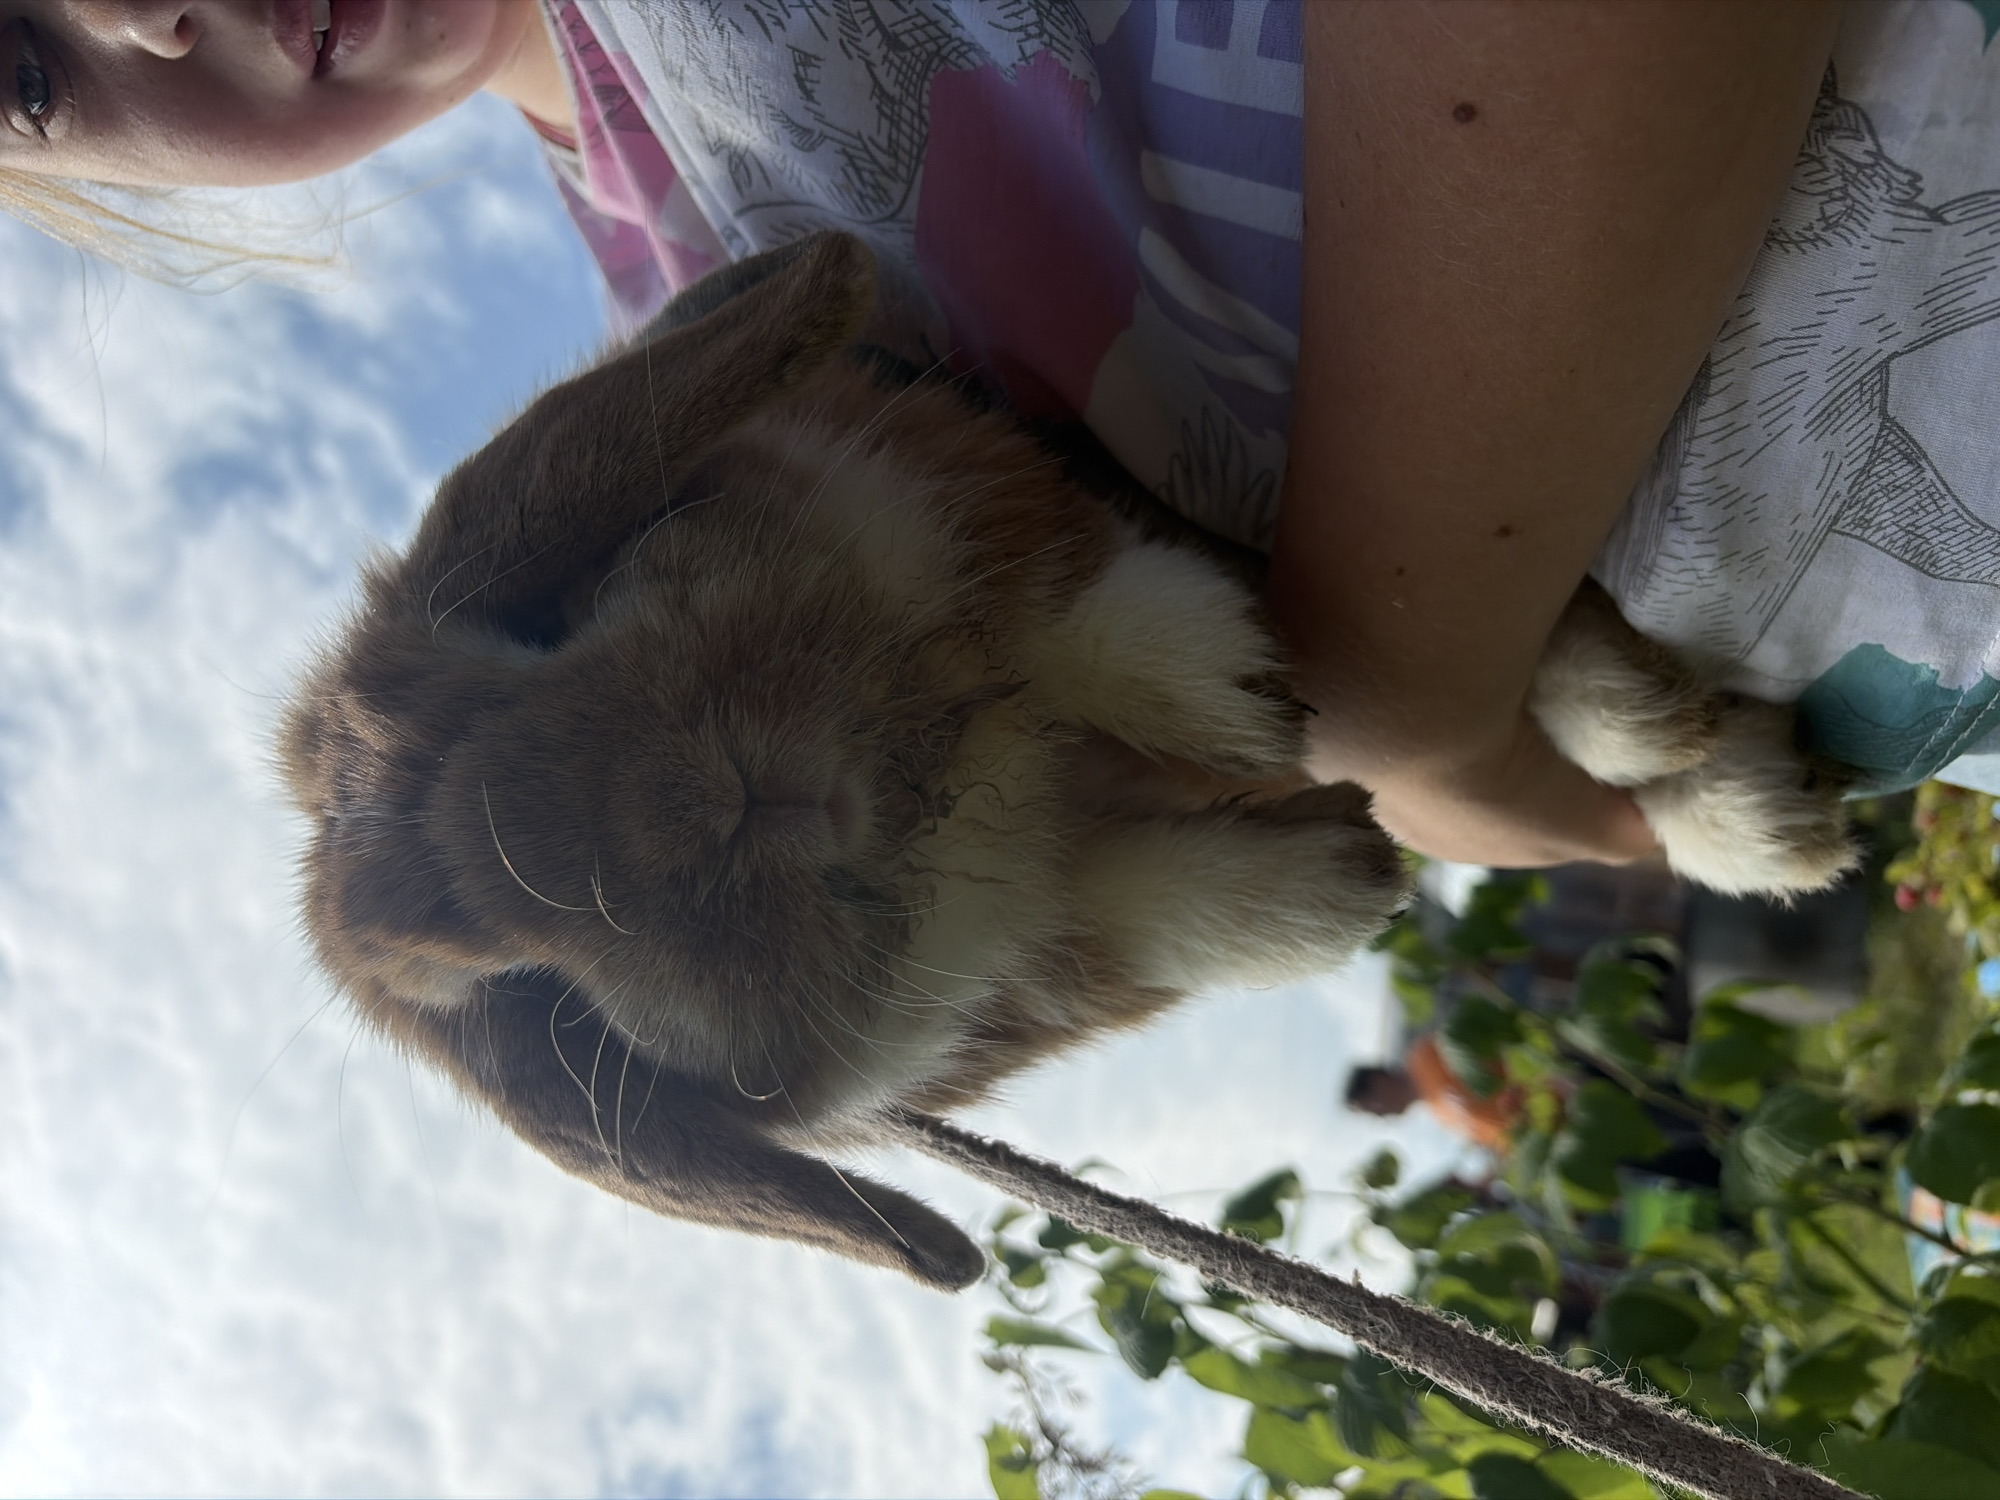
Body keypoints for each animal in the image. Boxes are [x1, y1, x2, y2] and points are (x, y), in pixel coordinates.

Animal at [280, 232, 1855, 1292]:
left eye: (552, 619)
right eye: (525, 994)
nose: (702, 809)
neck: (945, 764)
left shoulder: (1057, 505)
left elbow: (1092, 611)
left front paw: (1234, 692)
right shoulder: (1065, 935)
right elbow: (1176, 897)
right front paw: (1328, 868)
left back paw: (1746, 799)